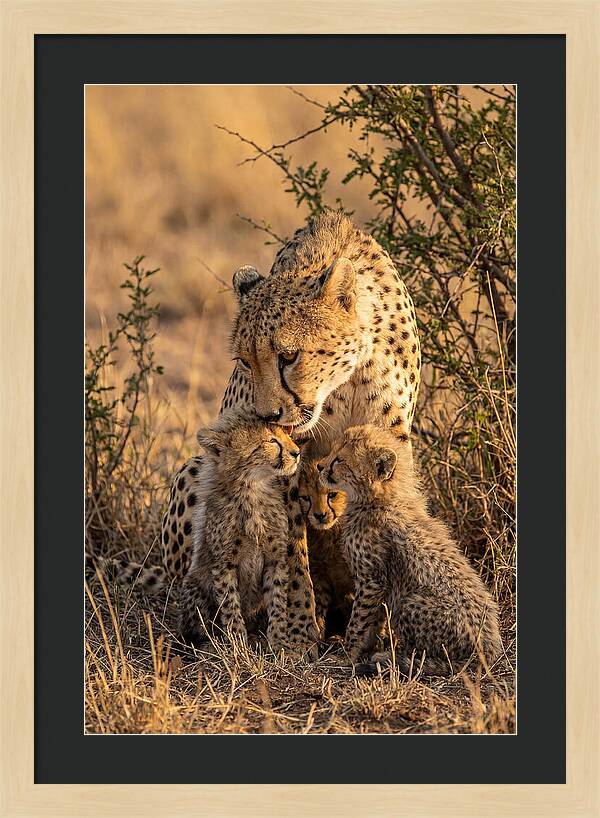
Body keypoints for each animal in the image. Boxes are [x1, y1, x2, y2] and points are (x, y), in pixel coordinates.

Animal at [178, 413, 300, 651]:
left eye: (286, 434)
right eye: (271, 441)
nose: (297, 453)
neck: (252, 489)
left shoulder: (276, 559)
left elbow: (277, 601)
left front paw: (278, 642)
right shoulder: (224, 563)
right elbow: (230, 604)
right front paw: (237, 644)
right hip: (194, 584)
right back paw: (209, 644)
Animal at [318, 424, 502, 676]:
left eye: (339, 460)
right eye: (332, 451)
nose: (319, 466)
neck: (379, 499)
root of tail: (490, 650)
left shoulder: (372, 580)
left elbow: (359, 621)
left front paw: (347, 654)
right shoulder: (379, 584)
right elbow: (373, 621)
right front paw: (365, 648)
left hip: (410, 602)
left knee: (428, 655)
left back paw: (394, 658)